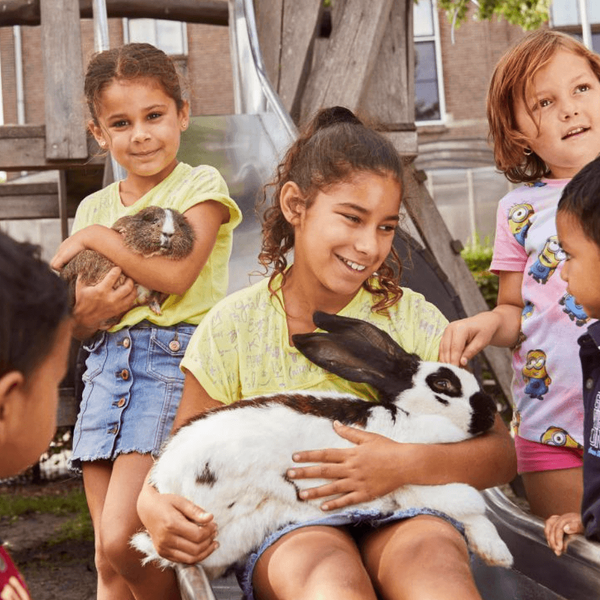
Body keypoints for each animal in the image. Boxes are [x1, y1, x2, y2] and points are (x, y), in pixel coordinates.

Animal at [131, 310, 510, 576]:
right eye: (444, 385)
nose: (491, 411)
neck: (408, 415)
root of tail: (164, 483)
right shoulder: (414, 483)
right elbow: (471, 506)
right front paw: (501, 553)